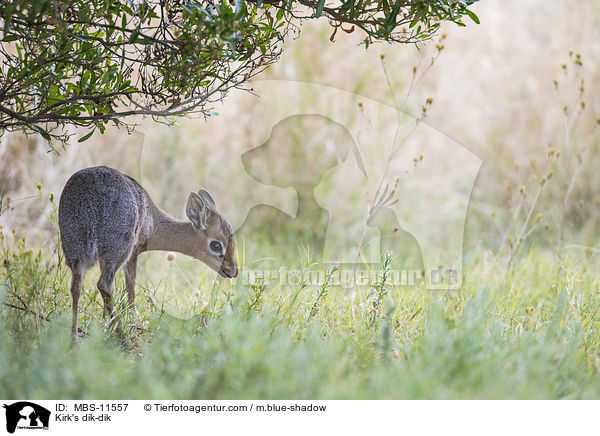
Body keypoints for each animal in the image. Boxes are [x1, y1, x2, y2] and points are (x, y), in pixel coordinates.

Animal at [58, 167, 239, 338]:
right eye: (216, 245)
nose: (233, 270)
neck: (153, 220)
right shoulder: (133, 253)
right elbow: (131, 287)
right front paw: (132, 322)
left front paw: (104, 326)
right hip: (118, 251)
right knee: (104, 284)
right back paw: (122, 336)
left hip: (76, 253)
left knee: (77, 286)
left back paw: (74, 337)